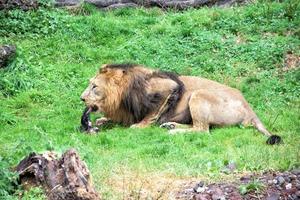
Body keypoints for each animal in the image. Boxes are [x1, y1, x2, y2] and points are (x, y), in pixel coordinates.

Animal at [80, 63, 282, 145]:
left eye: (94, 86)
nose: (81, 98)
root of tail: (250, 108)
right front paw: (100, 121)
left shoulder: (169, 87)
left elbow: (151, 114)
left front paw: (140, 126)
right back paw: (170, 125)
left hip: (198, 94)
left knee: (202, 130)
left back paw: (172, 130)